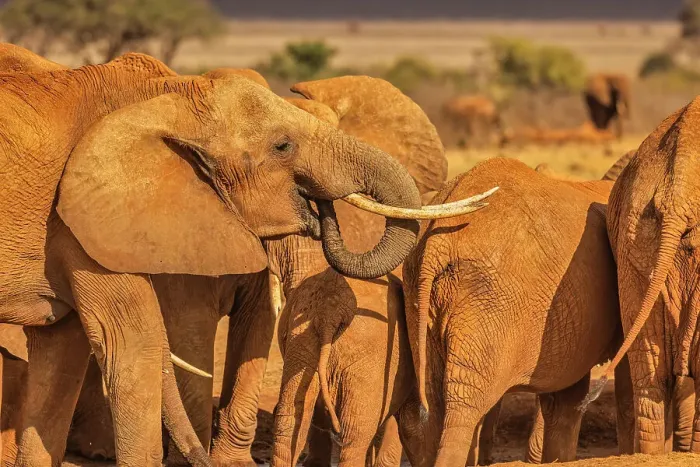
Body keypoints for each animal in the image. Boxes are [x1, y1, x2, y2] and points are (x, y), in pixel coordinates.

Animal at [0, 45, 492, 466]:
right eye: (282, 146)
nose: (320, 210)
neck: (172, 95)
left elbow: (64, 349)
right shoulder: (88, 223)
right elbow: (147, 337)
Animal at [403, 157, 631, 466]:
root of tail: (438, 243)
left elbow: (564, 401)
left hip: (418, 297)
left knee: (431, 400)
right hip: (487, 300)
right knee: (463, 405)